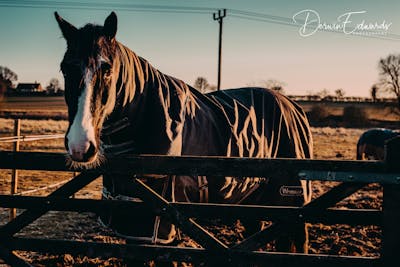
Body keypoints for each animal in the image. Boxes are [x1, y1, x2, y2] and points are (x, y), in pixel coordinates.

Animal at [54, 11, 314, 253]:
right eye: (65, 69)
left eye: (107, 69)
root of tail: (294, 107)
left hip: (290, 205)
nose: (80, 145)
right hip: (252, 199)